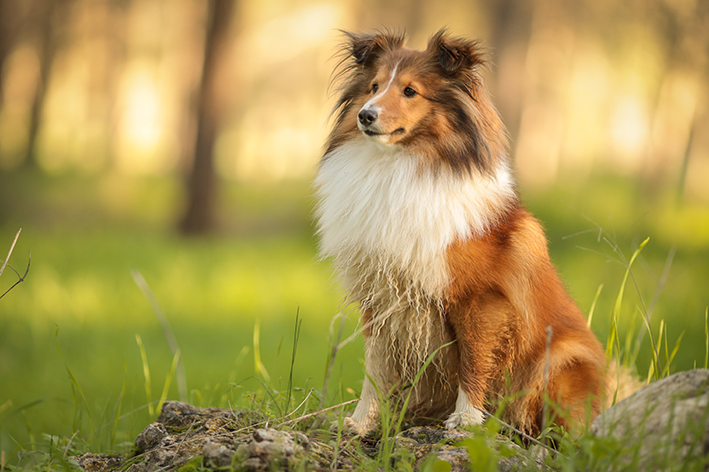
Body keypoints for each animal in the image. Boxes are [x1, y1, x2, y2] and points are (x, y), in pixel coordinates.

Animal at [314, 28, 604, 436]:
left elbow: (473, 359)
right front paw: (360, 422)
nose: (365, 115)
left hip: (562, 358)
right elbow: (376, 366)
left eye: (410, 91)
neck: (401, 165)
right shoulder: (380, 294)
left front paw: (466, 419)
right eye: (373, 86)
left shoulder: (480, 300)